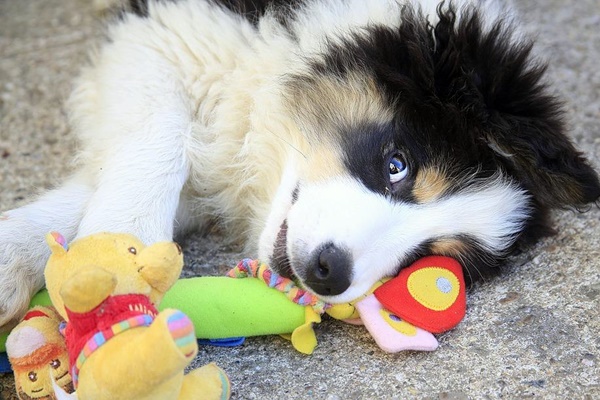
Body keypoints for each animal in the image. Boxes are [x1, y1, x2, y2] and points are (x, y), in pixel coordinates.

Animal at [1, 0, 600, 330]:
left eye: (427, 257)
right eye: (397, 166)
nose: (328, 272)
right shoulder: (170, 28)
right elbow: (163, 135)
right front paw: (119, 252)